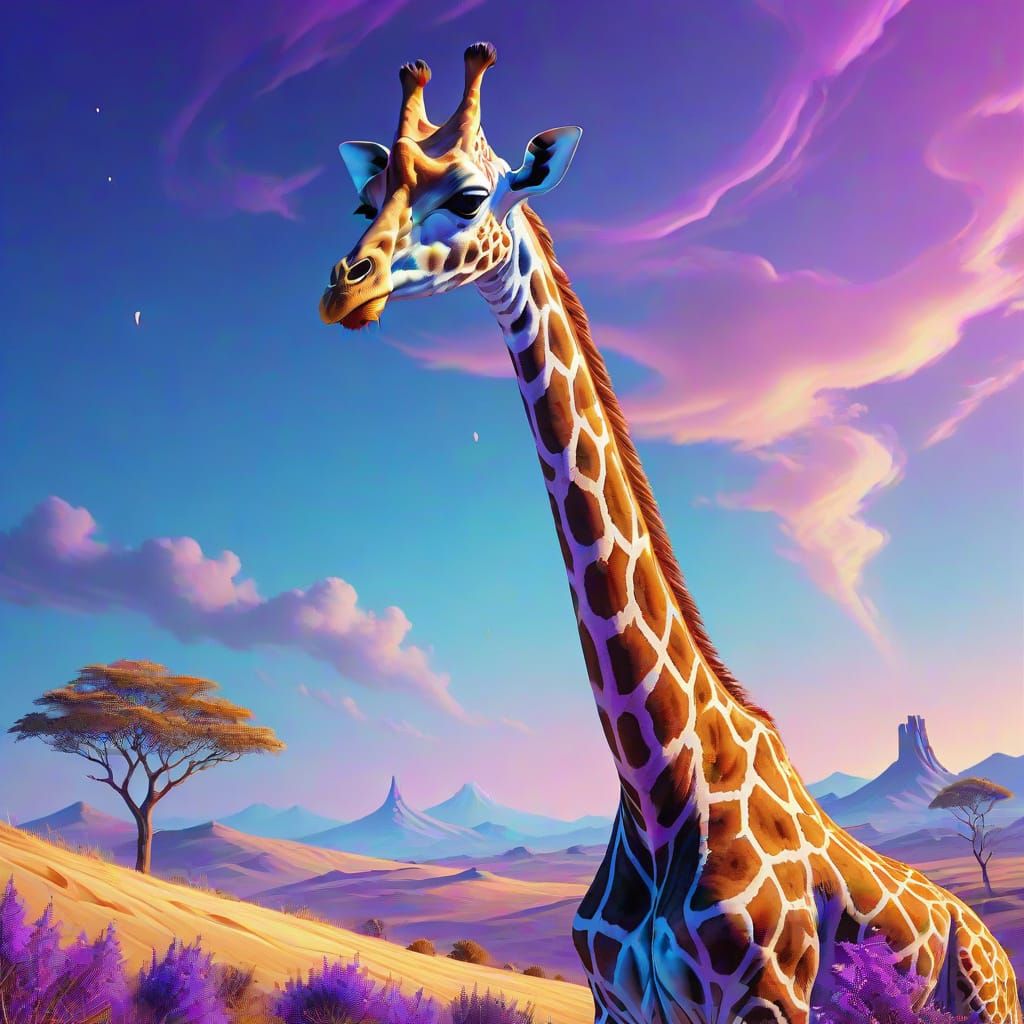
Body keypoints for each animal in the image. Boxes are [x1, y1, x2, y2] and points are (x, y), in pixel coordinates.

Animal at [317, 43, 1021, 1024]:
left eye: (470, 195)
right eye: (363, 200)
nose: (347, 288)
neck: (656, 784)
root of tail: (997, 945)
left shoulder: (766, 1000)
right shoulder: (617, 1002)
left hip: (984, 1006)